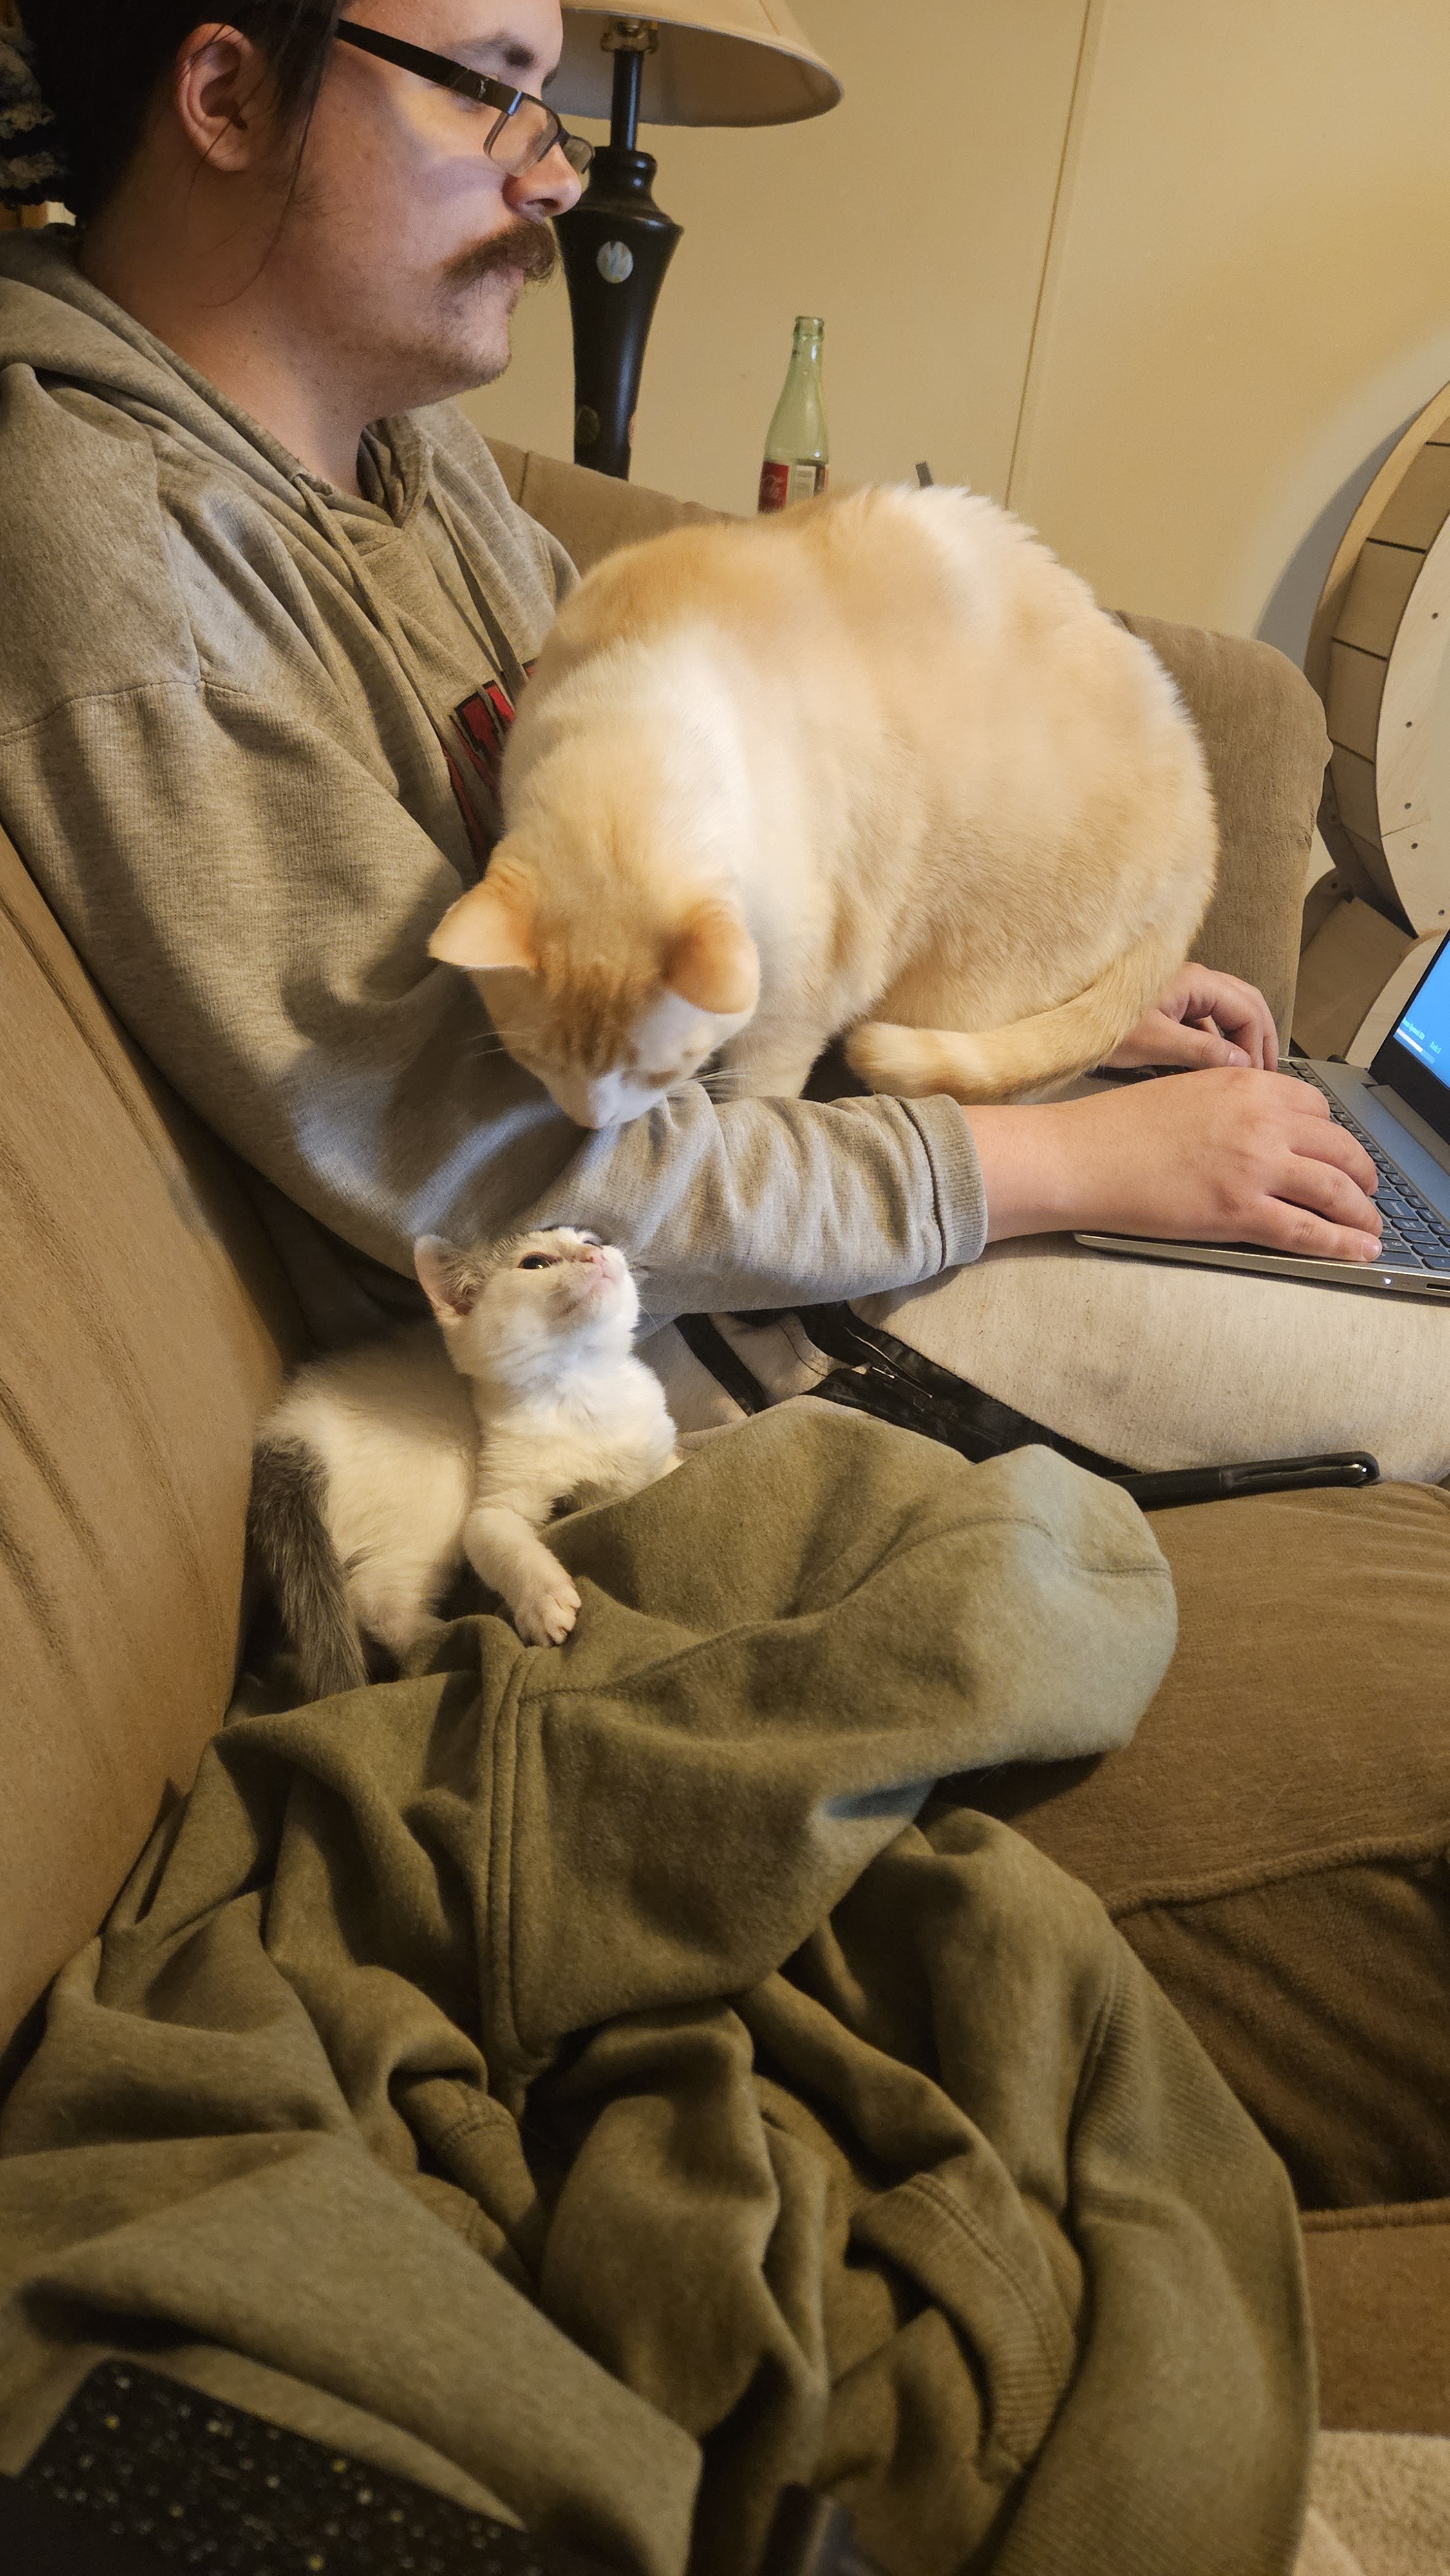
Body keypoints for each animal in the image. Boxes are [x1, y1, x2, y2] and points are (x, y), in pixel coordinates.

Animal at [250, 1226, 680, 1690]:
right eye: (535, 1263)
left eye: (592, 1240)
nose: (595, 1254)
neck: (581, 1391)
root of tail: (290, 1427)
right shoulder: (493, 1503)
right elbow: (503, 1545)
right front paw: (544, 1601)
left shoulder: (657, 1449)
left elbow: (669, 1468)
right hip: (440, 1493)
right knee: (372, 1598)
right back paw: (446, 1637)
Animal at [428, 487, 1216, 1123]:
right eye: (538, 1063)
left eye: (659, 1071)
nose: (590, 1124)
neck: (636, 733)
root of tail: (1204, 822)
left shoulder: (797, 1002)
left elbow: (760, 1097)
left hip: (954, 983)